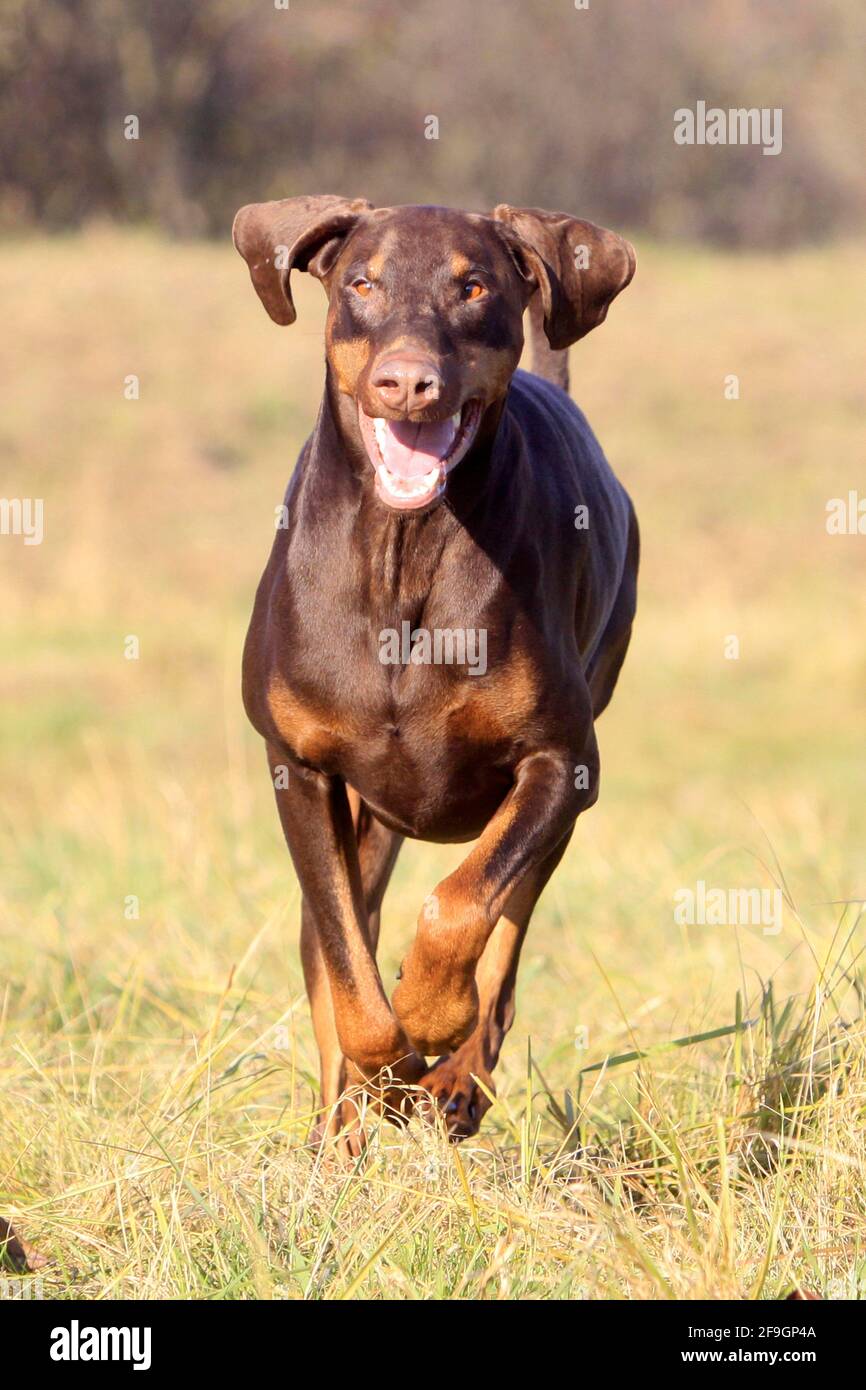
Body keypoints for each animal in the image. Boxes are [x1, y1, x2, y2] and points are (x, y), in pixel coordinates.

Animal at [233, 198, 639, 1150]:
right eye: (362, 283)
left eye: (474, 286)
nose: (407, 384)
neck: (403, 551)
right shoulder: (299, 769)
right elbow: (346, 968)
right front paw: (386, 1063)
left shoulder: (560, 764)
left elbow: (461, 908)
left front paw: (429, 1014)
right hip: (365, 821)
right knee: (337, 947)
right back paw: (346, 1128)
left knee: (506, 938)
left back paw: (455, 1078)